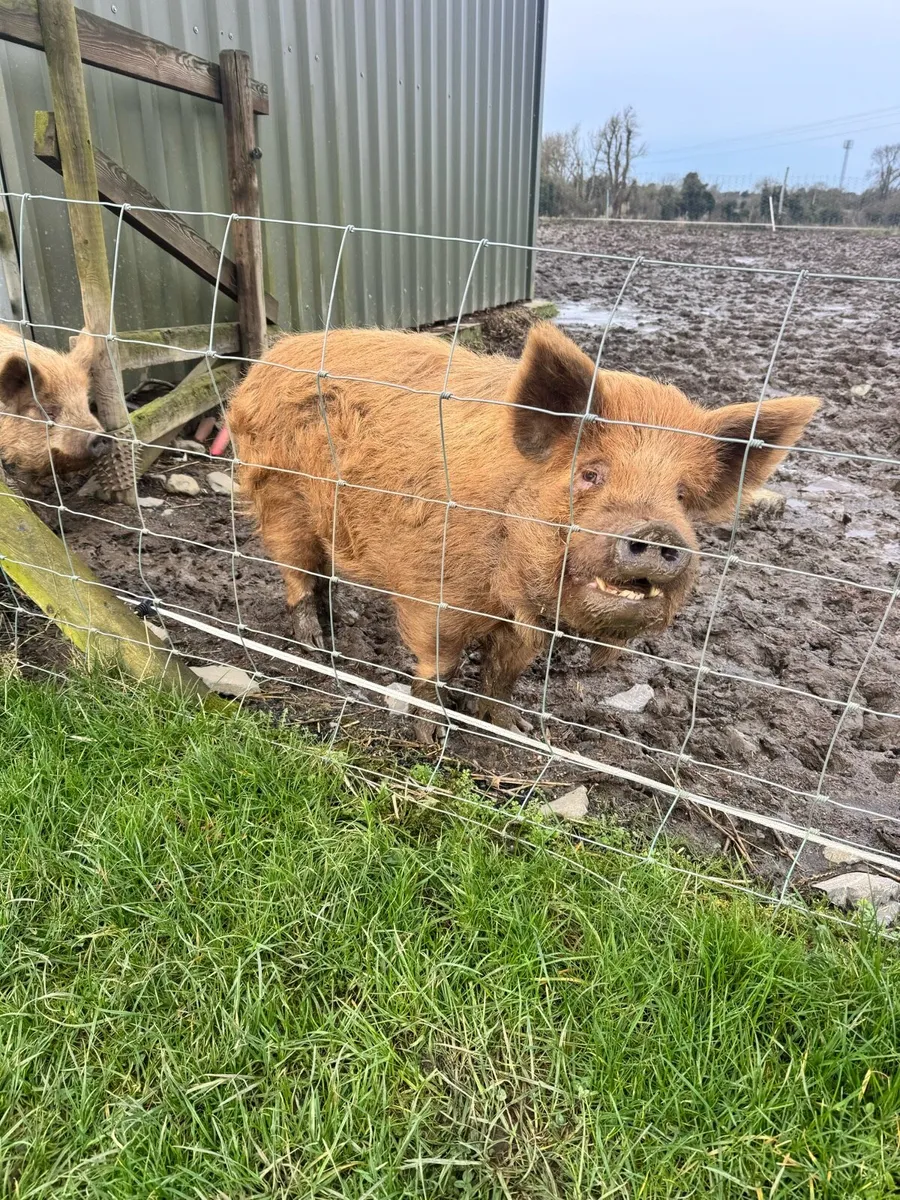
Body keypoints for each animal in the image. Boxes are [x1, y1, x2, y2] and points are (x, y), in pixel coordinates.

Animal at [227, 323, 819, 741]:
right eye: (591, 473)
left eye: (681, 495)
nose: (658, 532)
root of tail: (265, 362)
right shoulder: (435, 590)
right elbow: (439, 662)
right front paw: (432, 735)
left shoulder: (525, 623)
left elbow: (506, 672)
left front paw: (518, 730)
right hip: (279, 494)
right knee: (296, 574)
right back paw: (315, 645)